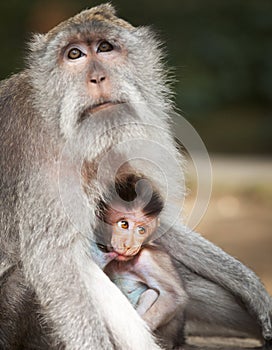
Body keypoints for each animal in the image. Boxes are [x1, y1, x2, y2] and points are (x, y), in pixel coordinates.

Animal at [95, 176, 187, 348]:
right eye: (124, 224)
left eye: (141, 230)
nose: (129, 245)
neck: (121, 263)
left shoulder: (146, 259)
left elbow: (174, 296)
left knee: (151, 293)